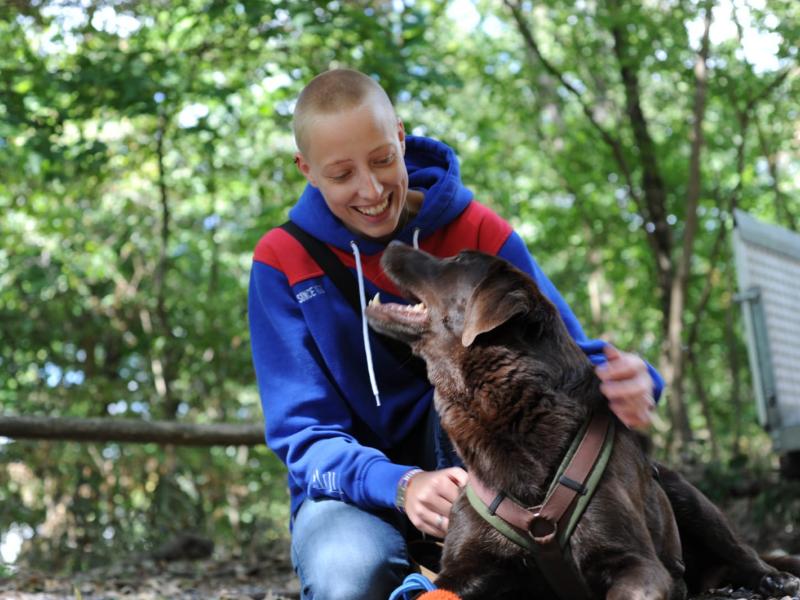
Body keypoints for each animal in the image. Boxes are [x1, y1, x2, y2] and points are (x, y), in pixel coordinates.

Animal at [368, 241, 800, 596]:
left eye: (456, 260)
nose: (392, 243)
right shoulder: (460, 571)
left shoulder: (639, 565)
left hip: (690, 499)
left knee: (744, 552)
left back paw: (774, 578)